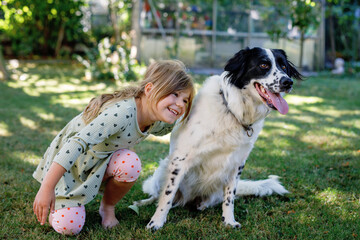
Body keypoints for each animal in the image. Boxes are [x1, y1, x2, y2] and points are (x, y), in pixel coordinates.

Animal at [134, 47, 302, 231]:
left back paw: (202, 205)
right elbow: (167, 195)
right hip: (163, 168)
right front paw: (156, 222)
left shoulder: (237, 163)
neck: (234, 111)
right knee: (159, 195)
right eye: (264, 65)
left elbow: (229, 198)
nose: (288, 82)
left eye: (284, 67)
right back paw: (144, 203)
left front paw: (228, 221)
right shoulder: (180, 159)